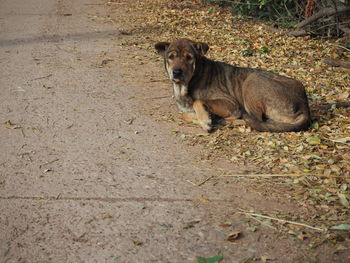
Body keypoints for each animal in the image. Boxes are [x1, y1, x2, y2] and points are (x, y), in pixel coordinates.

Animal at [154, 38, 310, 133]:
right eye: (171, 57)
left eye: (189, 57)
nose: (176, 72)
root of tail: (305, 105)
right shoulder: (185, 110)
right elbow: (185, 115)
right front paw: (207, 117)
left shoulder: (230, 102)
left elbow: (198, 102)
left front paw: (206, 120)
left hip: (252, 80)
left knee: (255, 120)